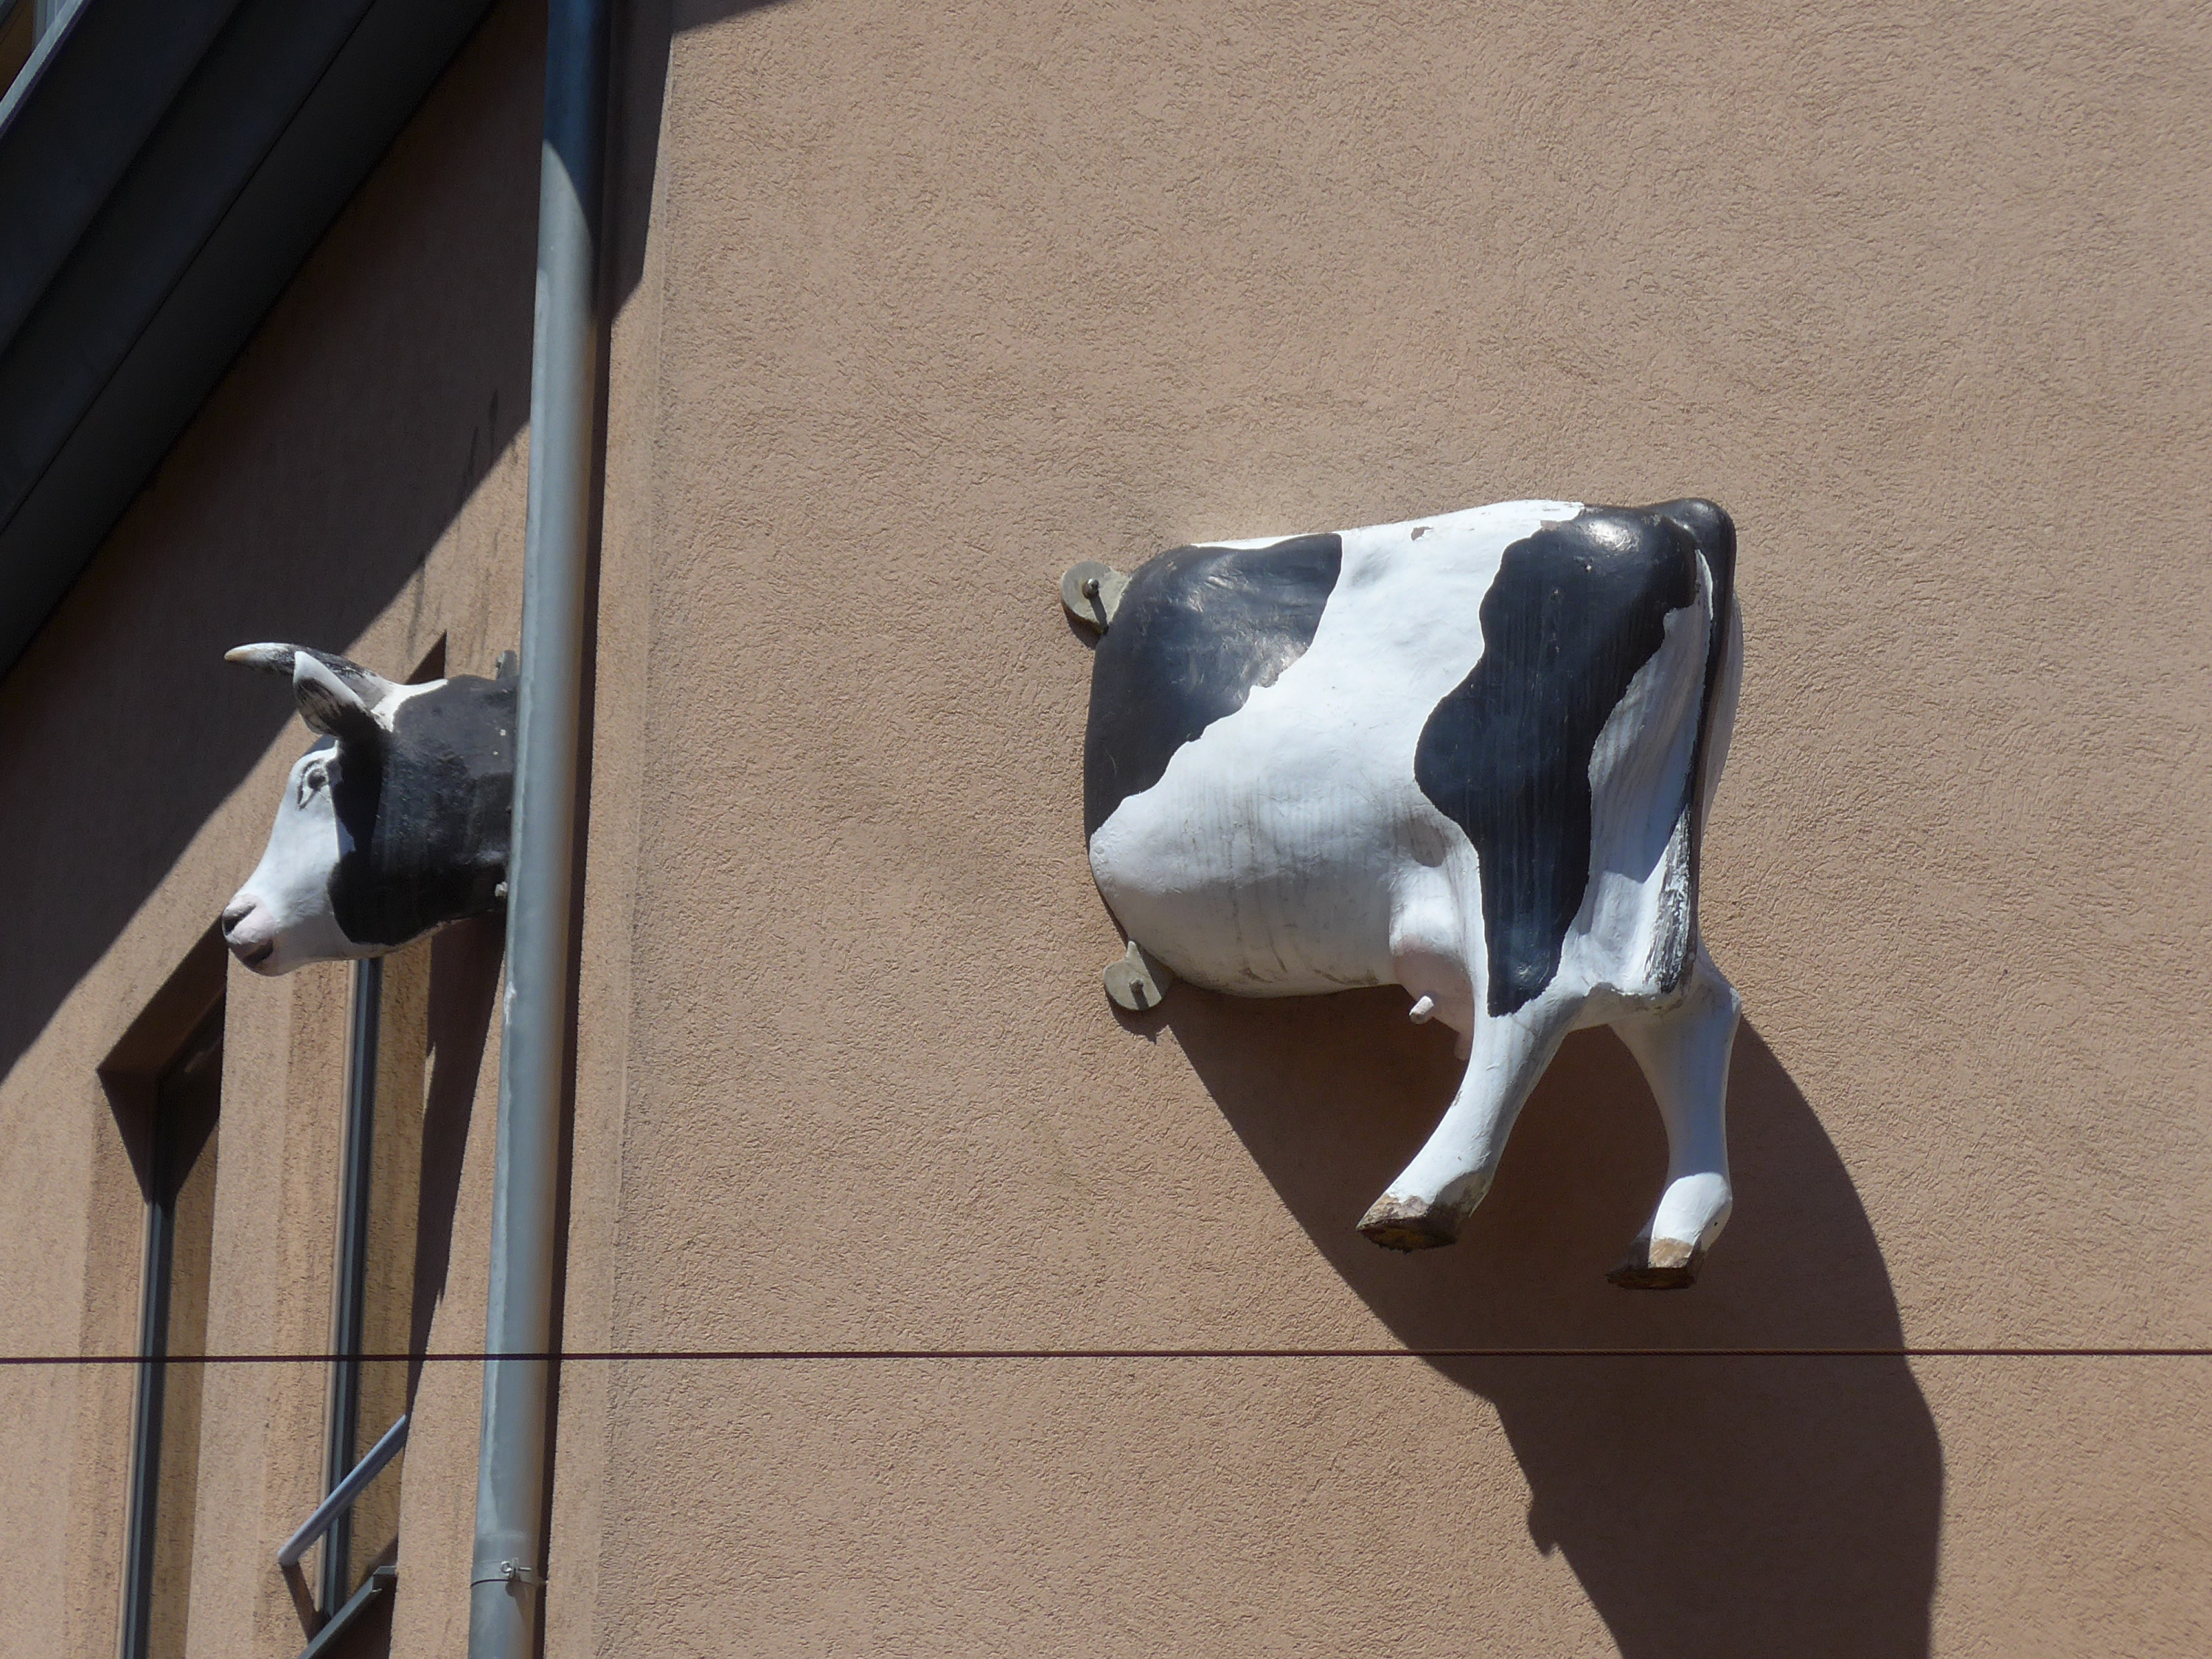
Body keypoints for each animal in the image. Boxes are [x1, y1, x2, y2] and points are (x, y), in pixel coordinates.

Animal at [1070, 498, 1743, 1287]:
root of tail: (1668, 516)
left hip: (1519, 820)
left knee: (1536, 986)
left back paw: (1422, 1200)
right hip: (1648, 852)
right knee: (1690, 1009)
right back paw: (1670, 1240)